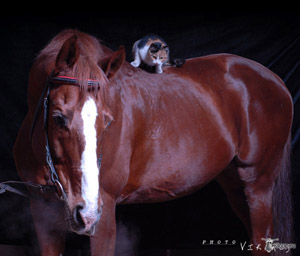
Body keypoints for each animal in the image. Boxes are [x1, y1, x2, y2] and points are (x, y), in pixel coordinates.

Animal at [13, 30, 292, 256]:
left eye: (108, 121)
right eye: (58, 118)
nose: (87, 212)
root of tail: (275, 80)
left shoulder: (105, 212)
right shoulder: (41, 210)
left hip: (258, 185)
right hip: (235, 186)